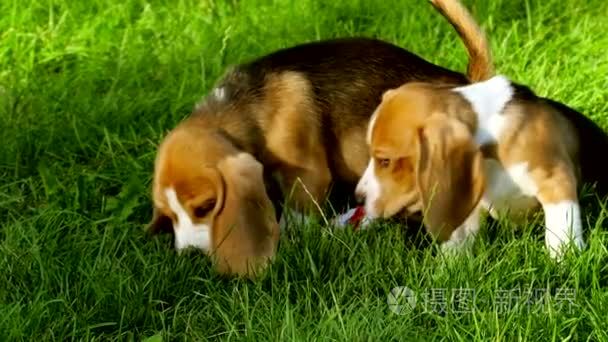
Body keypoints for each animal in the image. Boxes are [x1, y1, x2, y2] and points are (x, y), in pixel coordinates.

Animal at [148, 0, 494, 276]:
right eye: (168, 214)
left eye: (206, 207)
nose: (189, 256)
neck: (241, 109)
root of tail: (466, 84)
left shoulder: (306, 173)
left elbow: (297, 217)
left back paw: (448, 262)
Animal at [356, 0, 608, 256]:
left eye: (385, 161)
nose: (358, 198)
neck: (491, 146)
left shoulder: (556, 181)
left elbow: (560, 234)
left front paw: (562, 261)